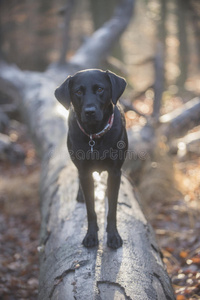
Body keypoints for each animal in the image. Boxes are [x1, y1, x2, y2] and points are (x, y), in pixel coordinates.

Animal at [54, 68, 127, 248]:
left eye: (100, 89)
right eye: (78, 92)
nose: (90, 112)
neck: (95, 135)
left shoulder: (115, 172)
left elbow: (112, 209)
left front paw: (113, 236)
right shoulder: (85, 172)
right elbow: (91, 209)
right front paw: (91, 236)